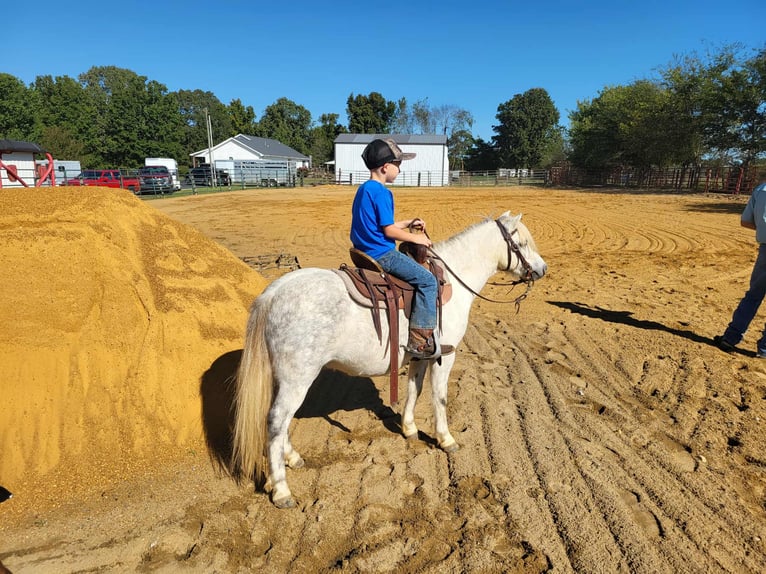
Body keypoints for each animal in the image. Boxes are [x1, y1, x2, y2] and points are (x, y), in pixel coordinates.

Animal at [231, 211, 547, 508]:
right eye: (521, 243)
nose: (542, 269)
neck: (453, 281)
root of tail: (273, 293)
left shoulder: (421, 355)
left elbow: (414, 390)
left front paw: (409, 428)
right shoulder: (446, 354)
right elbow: (439, 397)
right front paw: (446, 439)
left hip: (282, 378)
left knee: (280, 420)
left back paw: (293, 458)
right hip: (297, 378)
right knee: (277, 420)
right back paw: (281, 489)